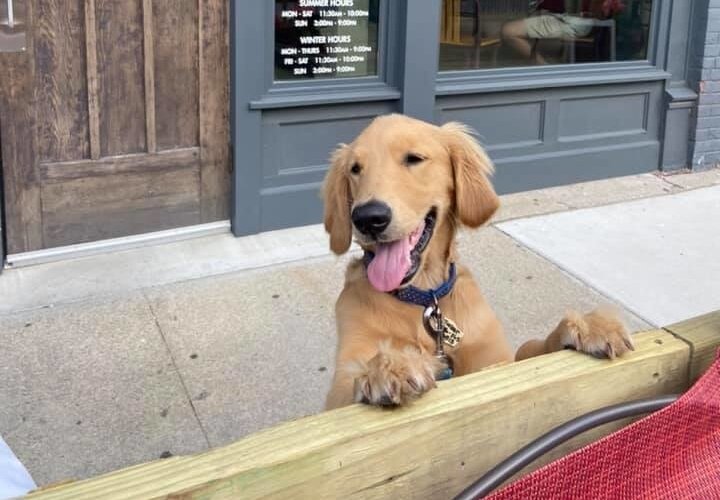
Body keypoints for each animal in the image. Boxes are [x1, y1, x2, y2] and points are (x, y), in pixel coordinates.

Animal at [324, 114, 632, 410]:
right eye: (355, 169)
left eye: (413, 158)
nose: (367, 218)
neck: (423, 300)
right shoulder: (337, 394)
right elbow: (352, 384)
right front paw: (389, 366)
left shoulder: (497, 363)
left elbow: (533, 349)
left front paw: (588, 325)